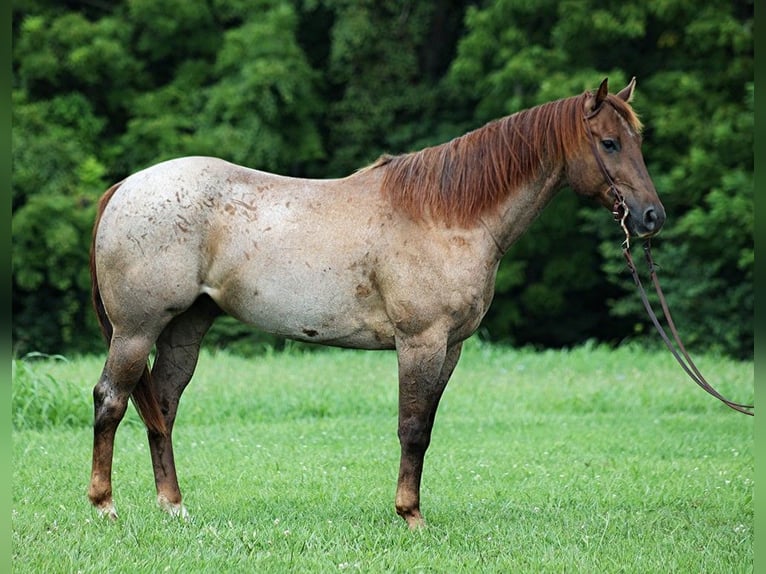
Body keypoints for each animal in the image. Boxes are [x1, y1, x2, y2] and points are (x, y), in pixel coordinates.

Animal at [88, 79, 664, 528]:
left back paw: (173, 507)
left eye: (637, 140)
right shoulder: (420, 342)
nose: (651, 216)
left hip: (185, 330)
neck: (449, 214)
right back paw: (104, 506)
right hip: (135, 332)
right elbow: (411, 428)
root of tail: (124, 188)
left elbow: (424, 429)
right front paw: (410, 515)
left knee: (162, 409)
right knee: (111, 400)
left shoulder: (450, 348)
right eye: (609, 143)